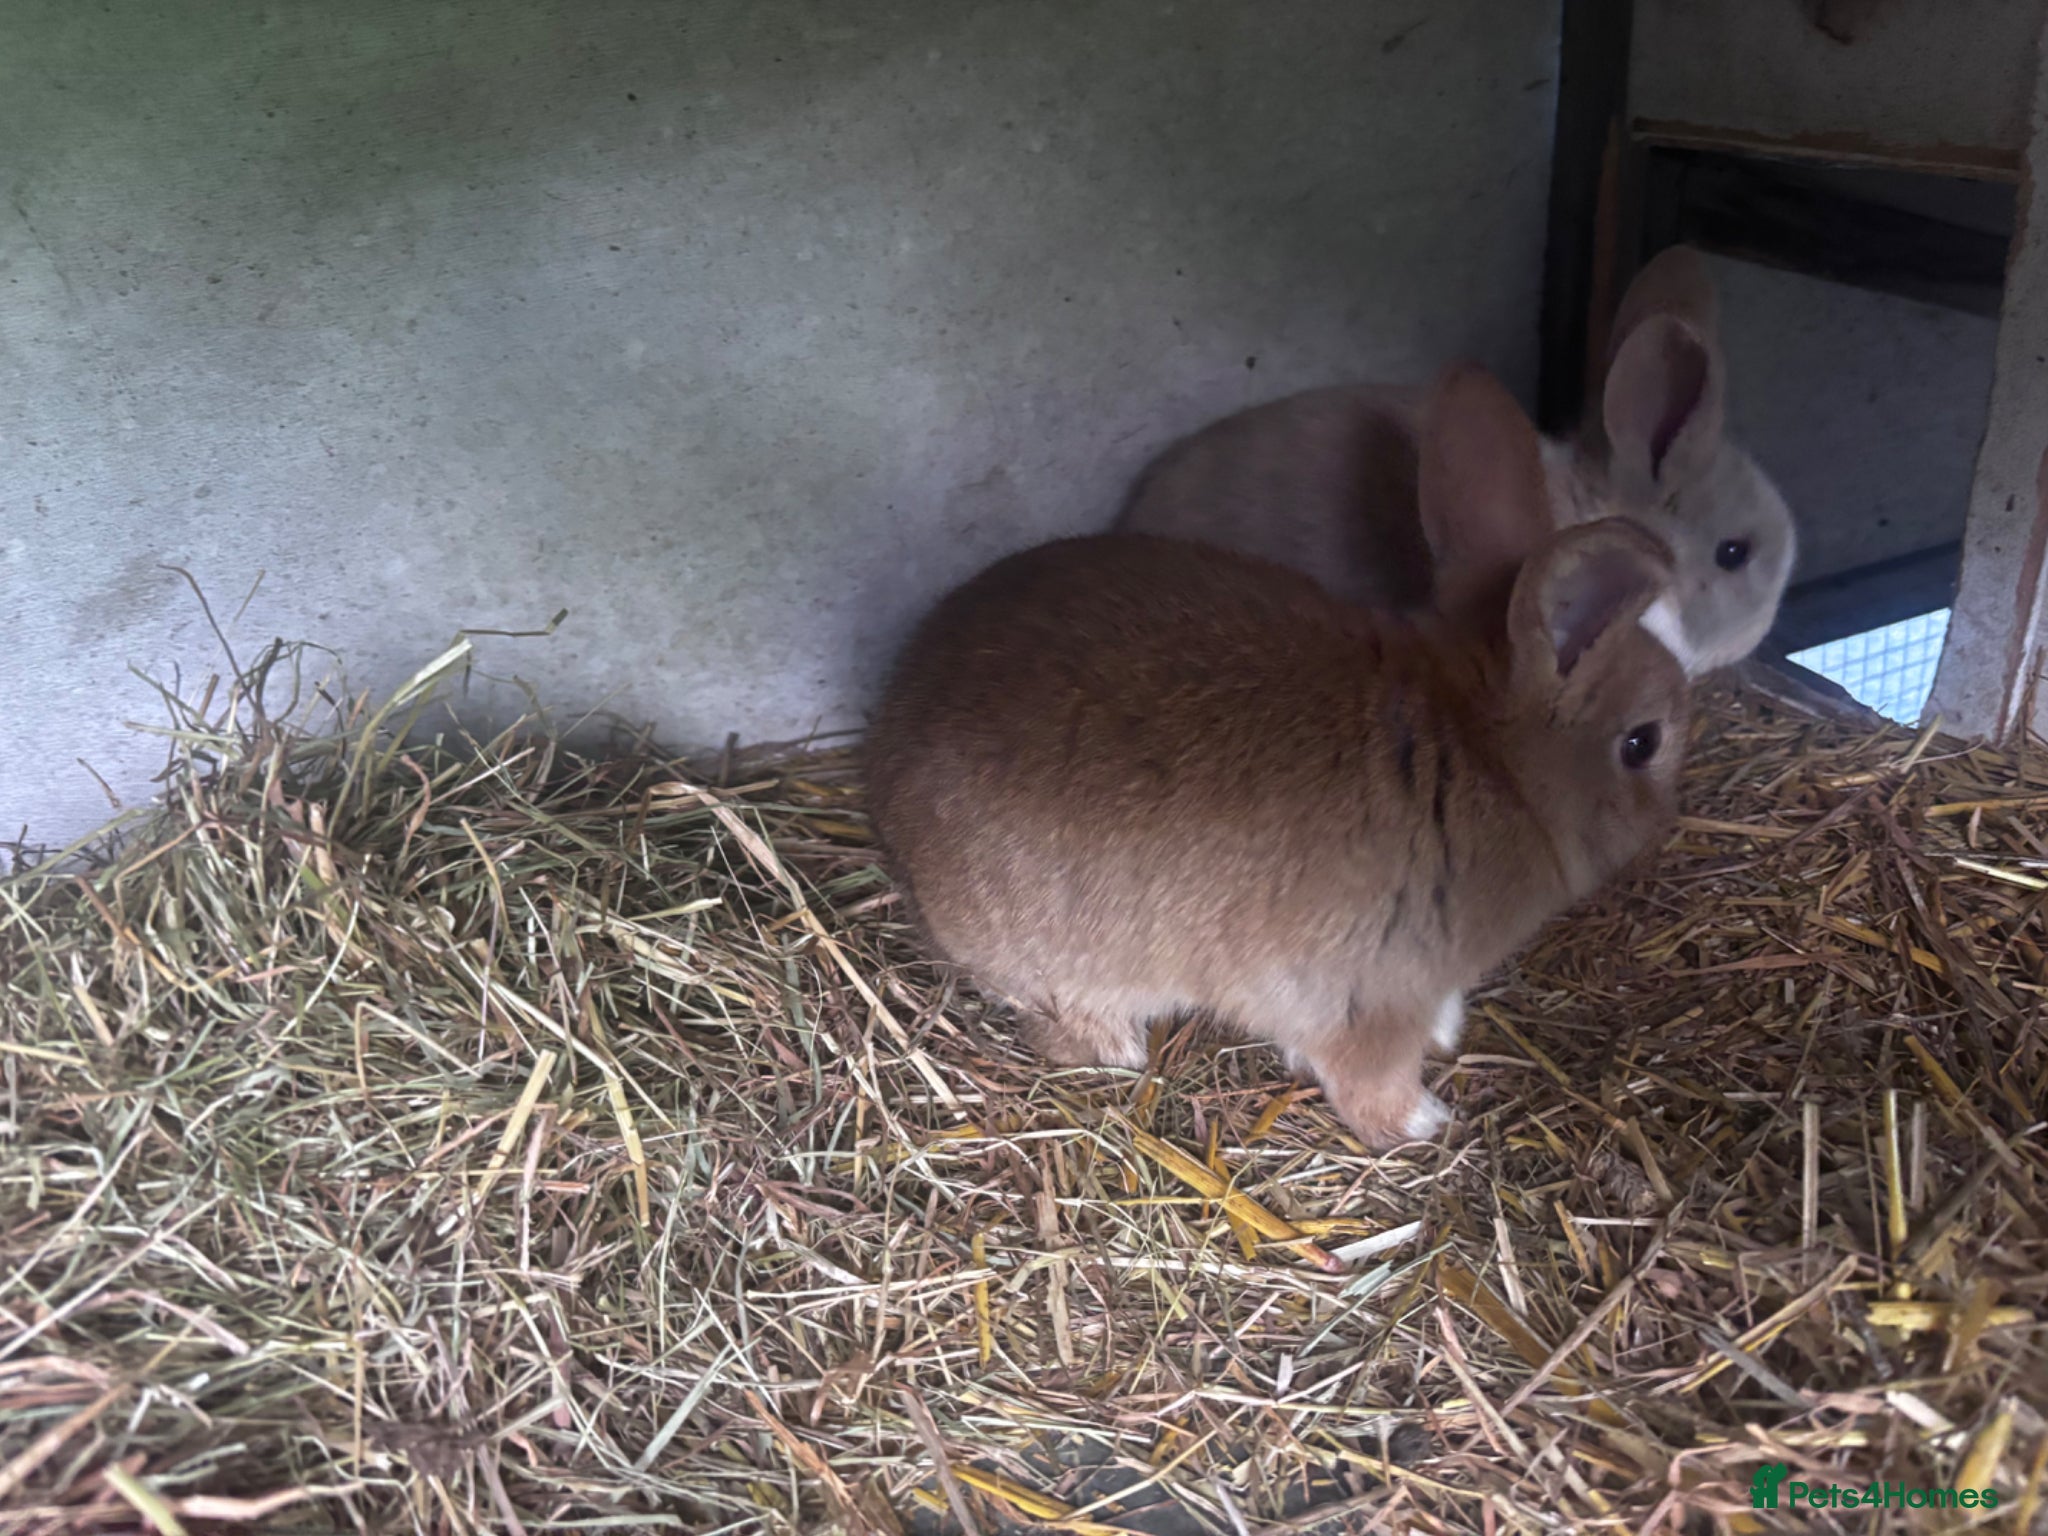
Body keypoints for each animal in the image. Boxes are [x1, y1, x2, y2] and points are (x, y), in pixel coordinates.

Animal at [864, 363, 1692, 1150]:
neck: (1488, 755)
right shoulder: (1368, 996)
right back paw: (1123, 1050)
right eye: (1642, 743)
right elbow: (1367, 1078)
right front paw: (1423, 1123)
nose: (1667, 820)